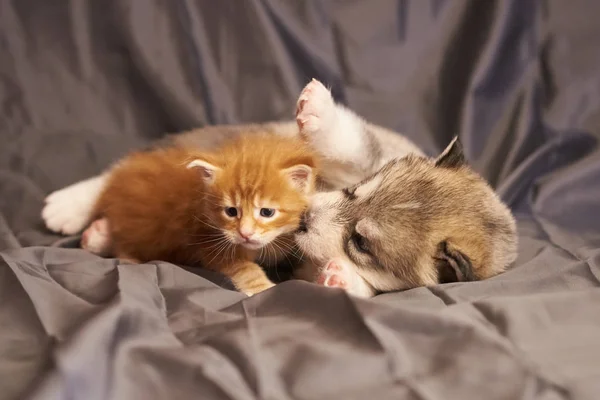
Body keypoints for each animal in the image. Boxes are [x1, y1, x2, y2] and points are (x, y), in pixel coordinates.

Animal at [84, 133, 322, 296]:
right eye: (231, 211)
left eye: (267, 212)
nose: (245, 234)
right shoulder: (209, 242)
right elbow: (244, 268)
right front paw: (262, 287)